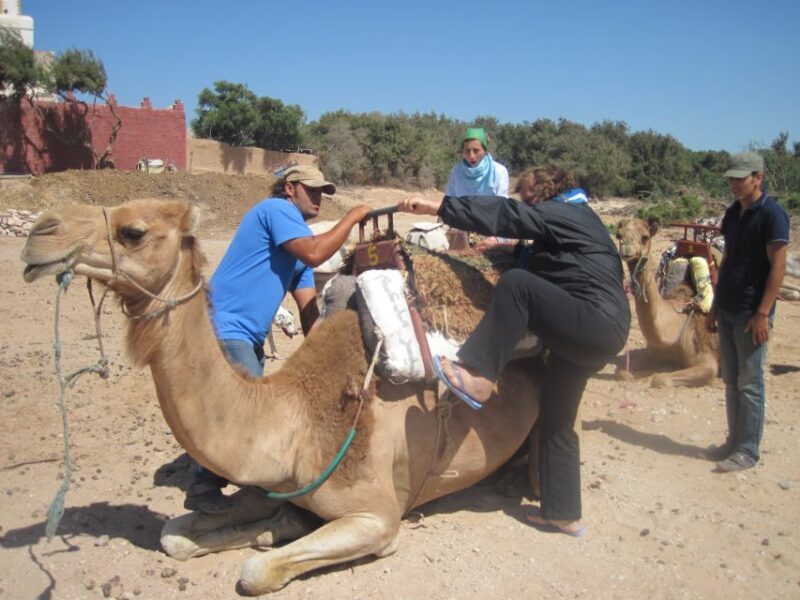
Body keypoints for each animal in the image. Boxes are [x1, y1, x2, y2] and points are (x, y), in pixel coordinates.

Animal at [20, 198, 540, 596]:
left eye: (133, 231)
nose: (40, 232)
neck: (294, 419)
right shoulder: (267, 482)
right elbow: (173, 534)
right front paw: (275, 526)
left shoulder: (378, 517)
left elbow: (255, 570)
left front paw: (273, 535)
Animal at [615, 217, 718, 388]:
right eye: (619, 235)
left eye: (645, 236)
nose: (627, 248)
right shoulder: (651, 354)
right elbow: (623, 373)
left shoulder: (708, 362)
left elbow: (659, 379)